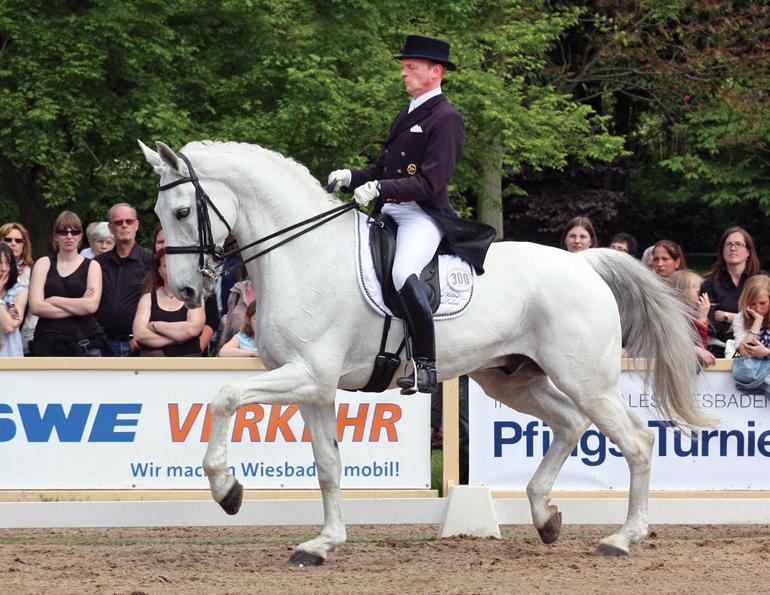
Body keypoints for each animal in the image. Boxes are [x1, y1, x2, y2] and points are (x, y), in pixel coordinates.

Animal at [139, 139, 712, 565]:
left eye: (183, 210)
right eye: (160, 213)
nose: (186, 292)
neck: (304, 254)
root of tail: (583, 262)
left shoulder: (307, 376)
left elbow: (225, 396)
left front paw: (227, 490)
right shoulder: (314, 388)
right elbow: (327, 465)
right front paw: (323, 544)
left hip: (587, 379)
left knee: (637, 441)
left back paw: (622, 538)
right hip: (511, 377)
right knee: (570, 424)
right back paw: (545, 515)